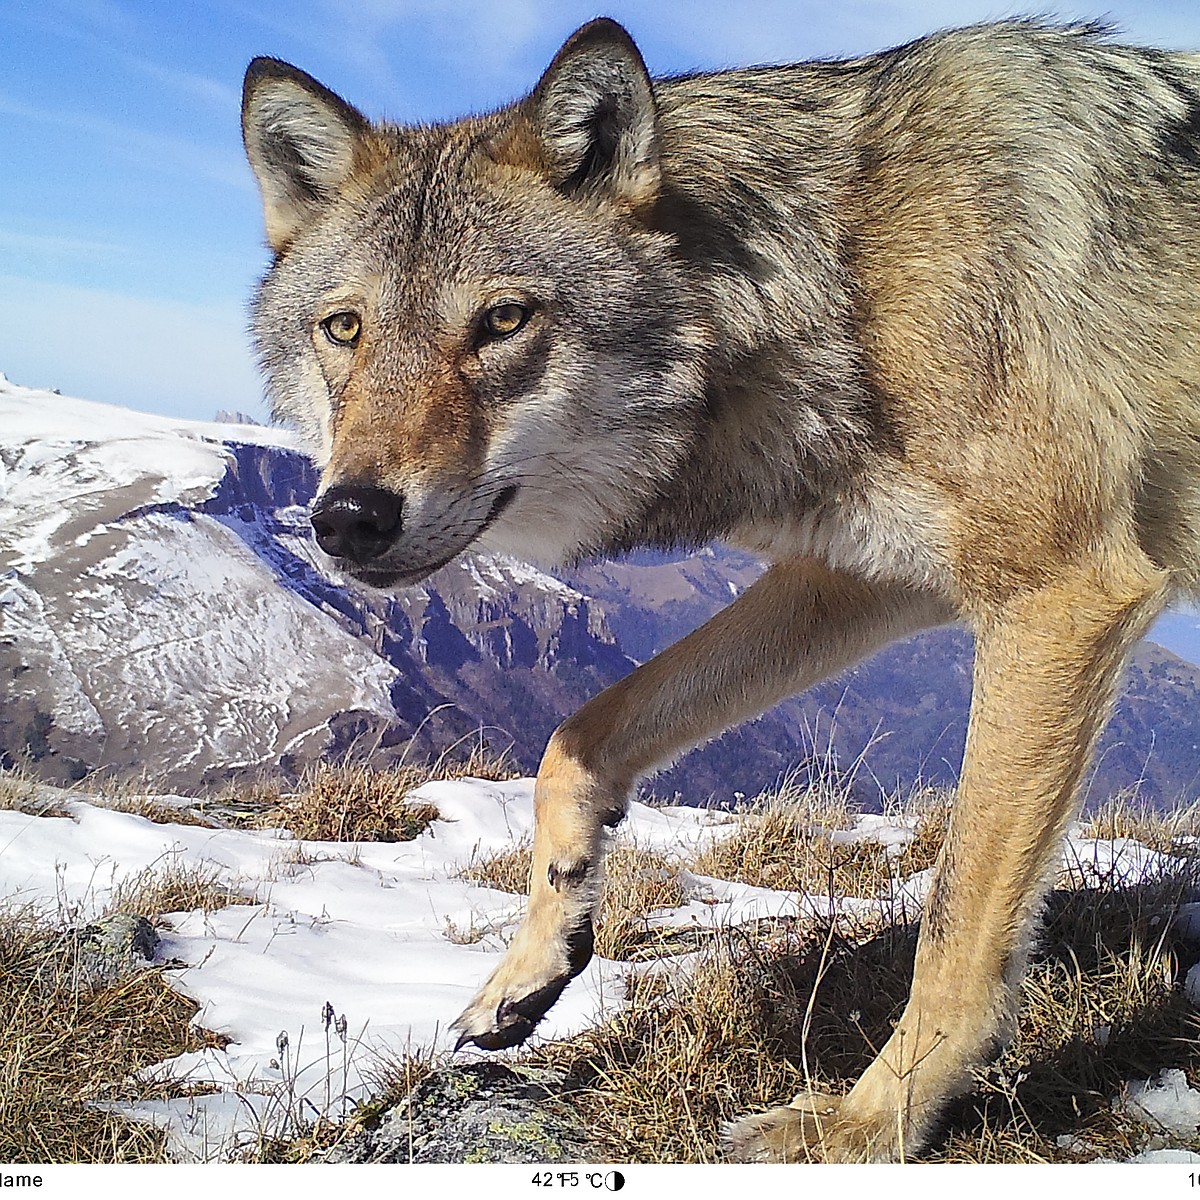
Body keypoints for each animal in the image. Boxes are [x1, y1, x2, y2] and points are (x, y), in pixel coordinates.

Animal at [238, 18, 1200, 1161]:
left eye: (504, 320)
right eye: (344, 329)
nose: (345, 517)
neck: (844, 273)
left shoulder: (1062, 591)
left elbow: (957, 918)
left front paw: (868, 1129)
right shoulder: (869, 578)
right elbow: (579, 735)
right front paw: (534, 965)